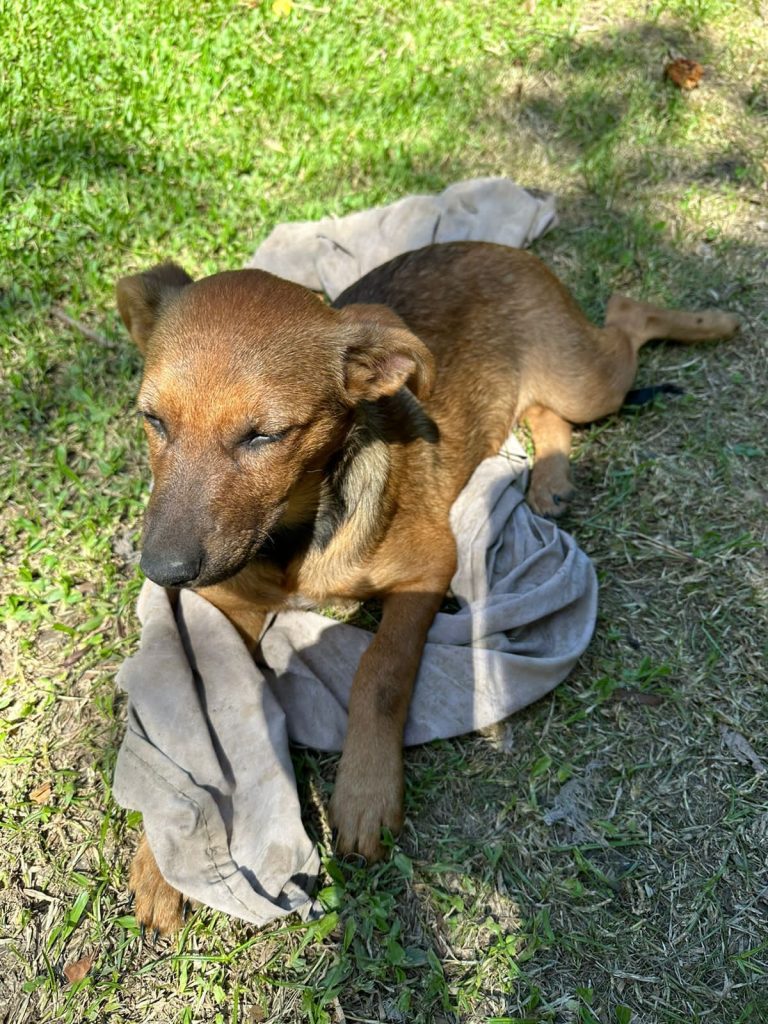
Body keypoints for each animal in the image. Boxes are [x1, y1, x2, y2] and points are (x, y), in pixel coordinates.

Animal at [116, 240, 738, 933]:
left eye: (265, 436)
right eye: (152, 420)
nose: (161, 570)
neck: (299, 530)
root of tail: (498, 248)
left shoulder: (428, 570)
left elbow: (380, 673)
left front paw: (365, 790)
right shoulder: (227, 604)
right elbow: (201, 718)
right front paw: (166, 855)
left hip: (586, 381)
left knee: (626, 315)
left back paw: (714, 323)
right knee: (545, 407)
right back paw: (550, 480)